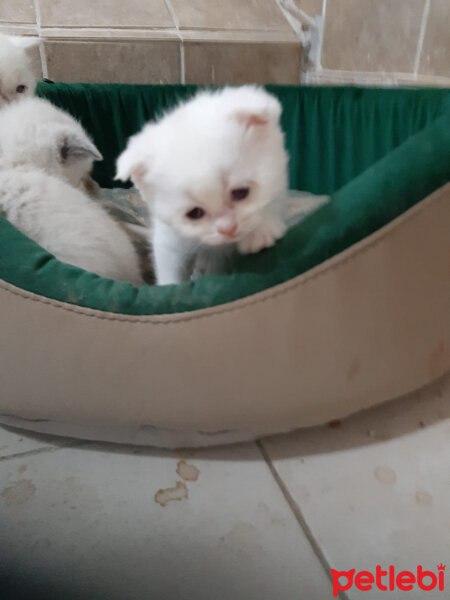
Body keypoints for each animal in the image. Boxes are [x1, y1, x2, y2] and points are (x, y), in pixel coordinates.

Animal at [117, 85, 288, 288]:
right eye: (195, 213)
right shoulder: (171, 239)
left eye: (241, 192)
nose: (227, 228)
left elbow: (273, 200)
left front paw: (261, 231)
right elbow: (170, 266)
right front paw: (170, 288)